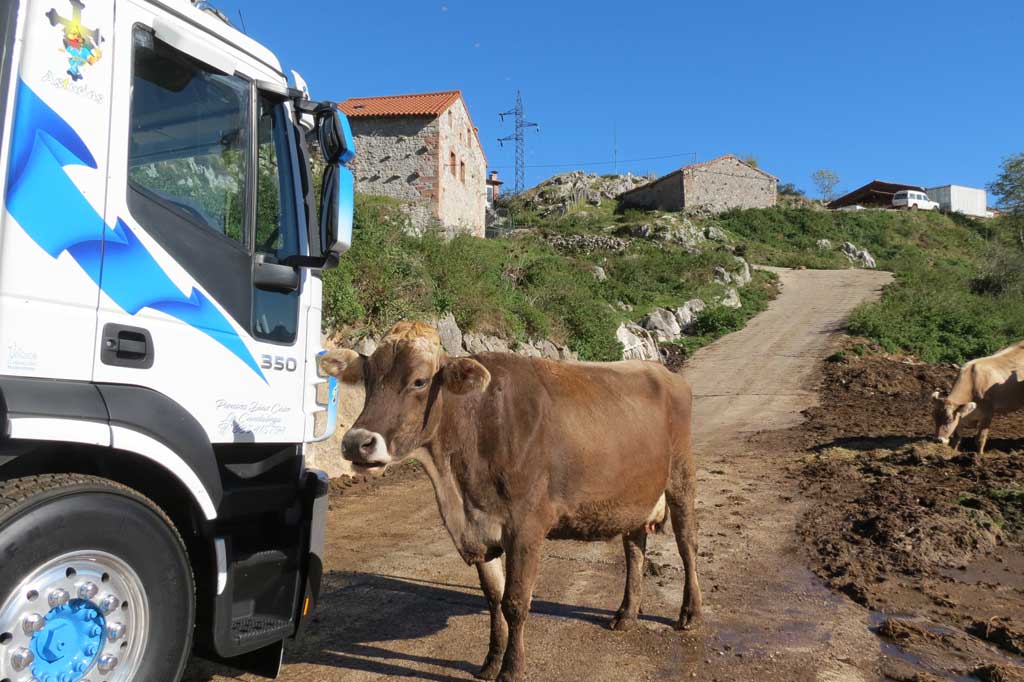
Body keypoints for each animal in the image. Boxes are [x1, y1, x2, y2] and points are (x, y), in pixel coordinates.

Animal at [323, 323, 700, 679]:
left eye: (419, 381)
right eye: (368, 379)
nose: (356, 443)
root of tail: (660, 369)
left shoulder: (526, 527)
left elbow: (516, 602)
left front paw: (512, 669)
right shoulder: (480, 528)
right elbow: (494, 598)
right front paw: (490, 663)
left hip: (681, 476)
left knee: (687, 544)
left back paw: (690, 612)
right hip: (633, 493)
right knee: (634, 547)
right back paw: (626, 614)